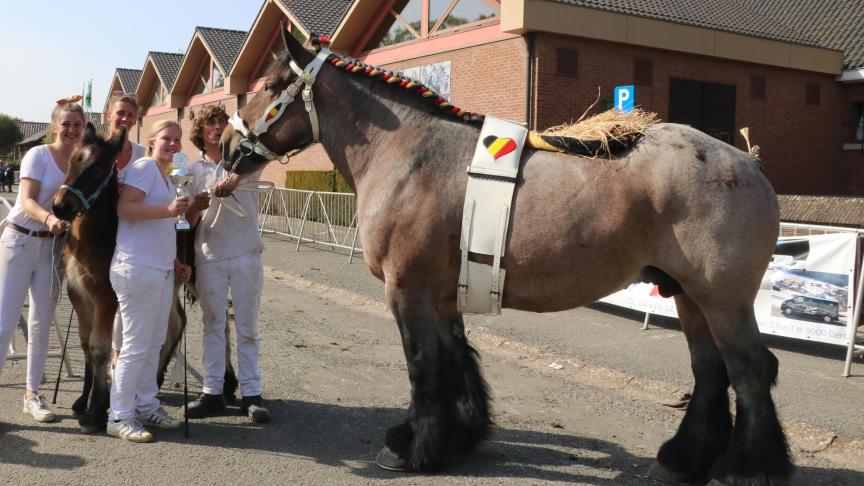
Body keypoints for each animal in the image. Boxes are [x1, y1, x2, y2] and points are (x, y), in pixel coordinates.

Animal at [226, 32, 792, 484]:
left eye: (272, 85)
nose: (229, 145)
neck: (409, 155)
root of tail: (749, 164)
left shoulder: (407, 289)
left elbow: (423, 364)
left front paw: (414, 448)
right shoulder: (443, 295)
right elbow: (456, 360)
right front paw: (457, 437)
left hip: (722, 300)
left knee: (749, 370)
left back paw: (745, 467)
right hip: (688, 296)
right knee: (710, 372)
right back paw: (683, 459)